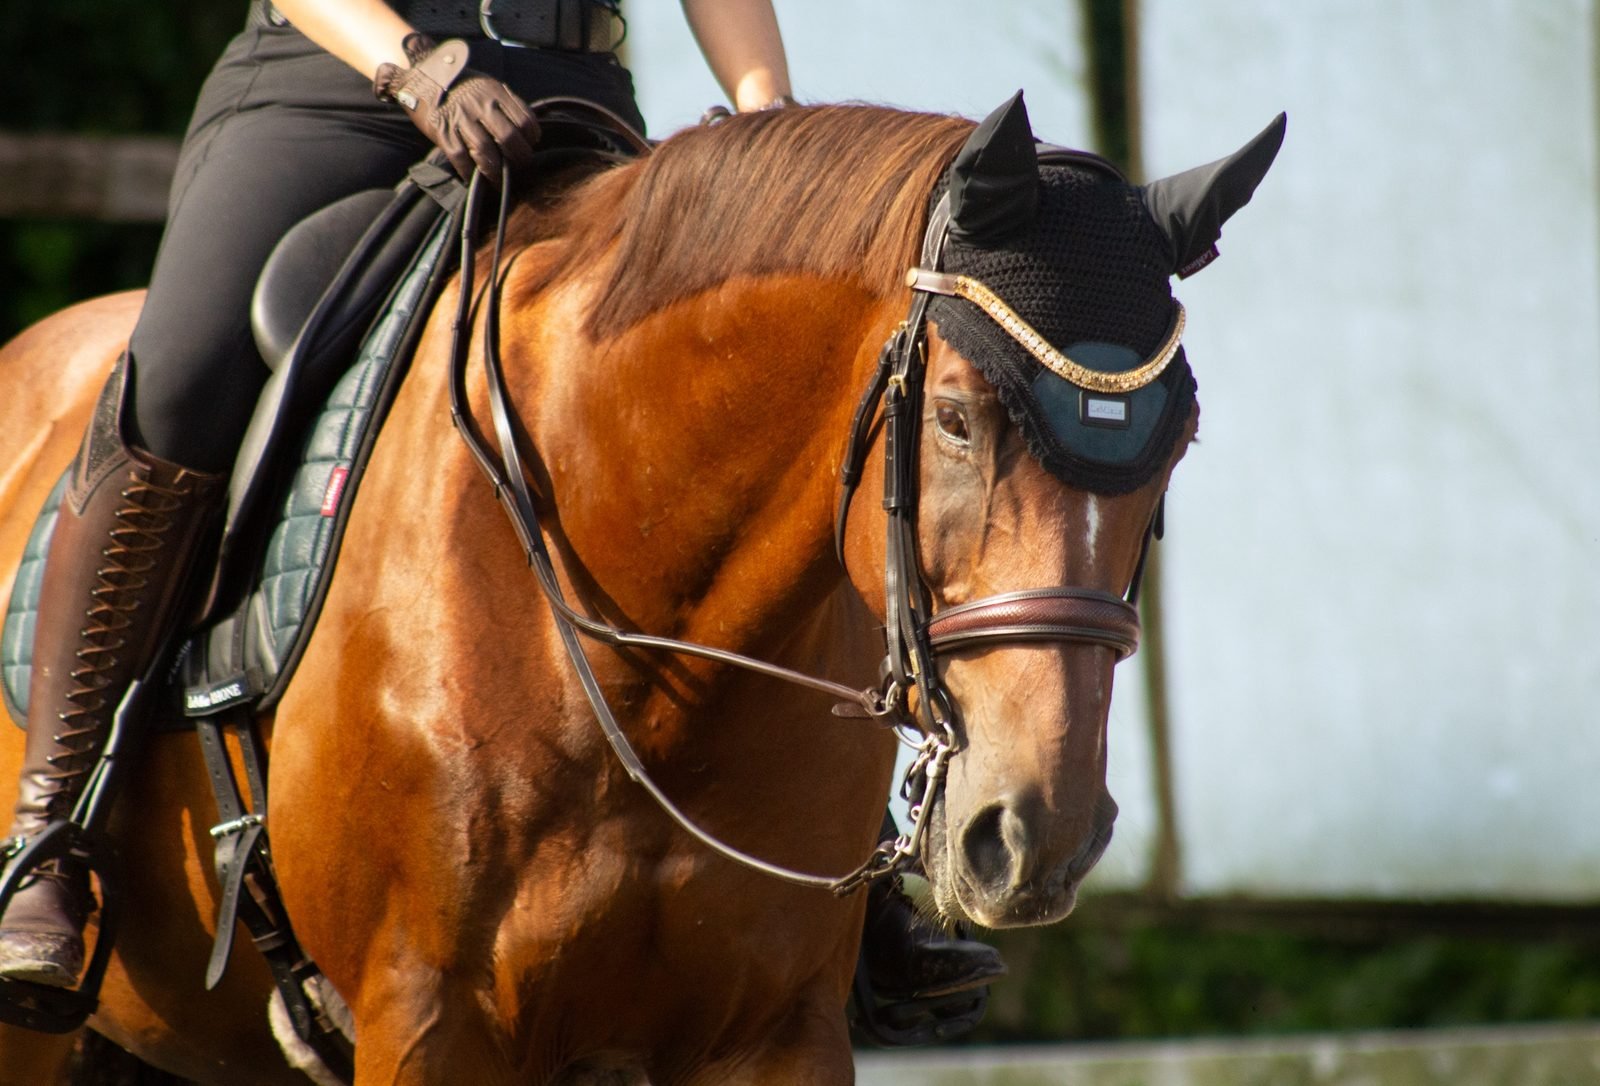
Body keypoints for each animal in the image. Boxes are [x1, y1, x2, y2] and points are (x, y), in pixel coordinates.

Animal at [0, 95, 1282, 1084]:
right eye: (960, 417)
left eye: (1177, 444)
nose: (1035, 835)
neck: (647, 673)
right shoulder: (427, 1021)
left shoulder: (774, 1035)